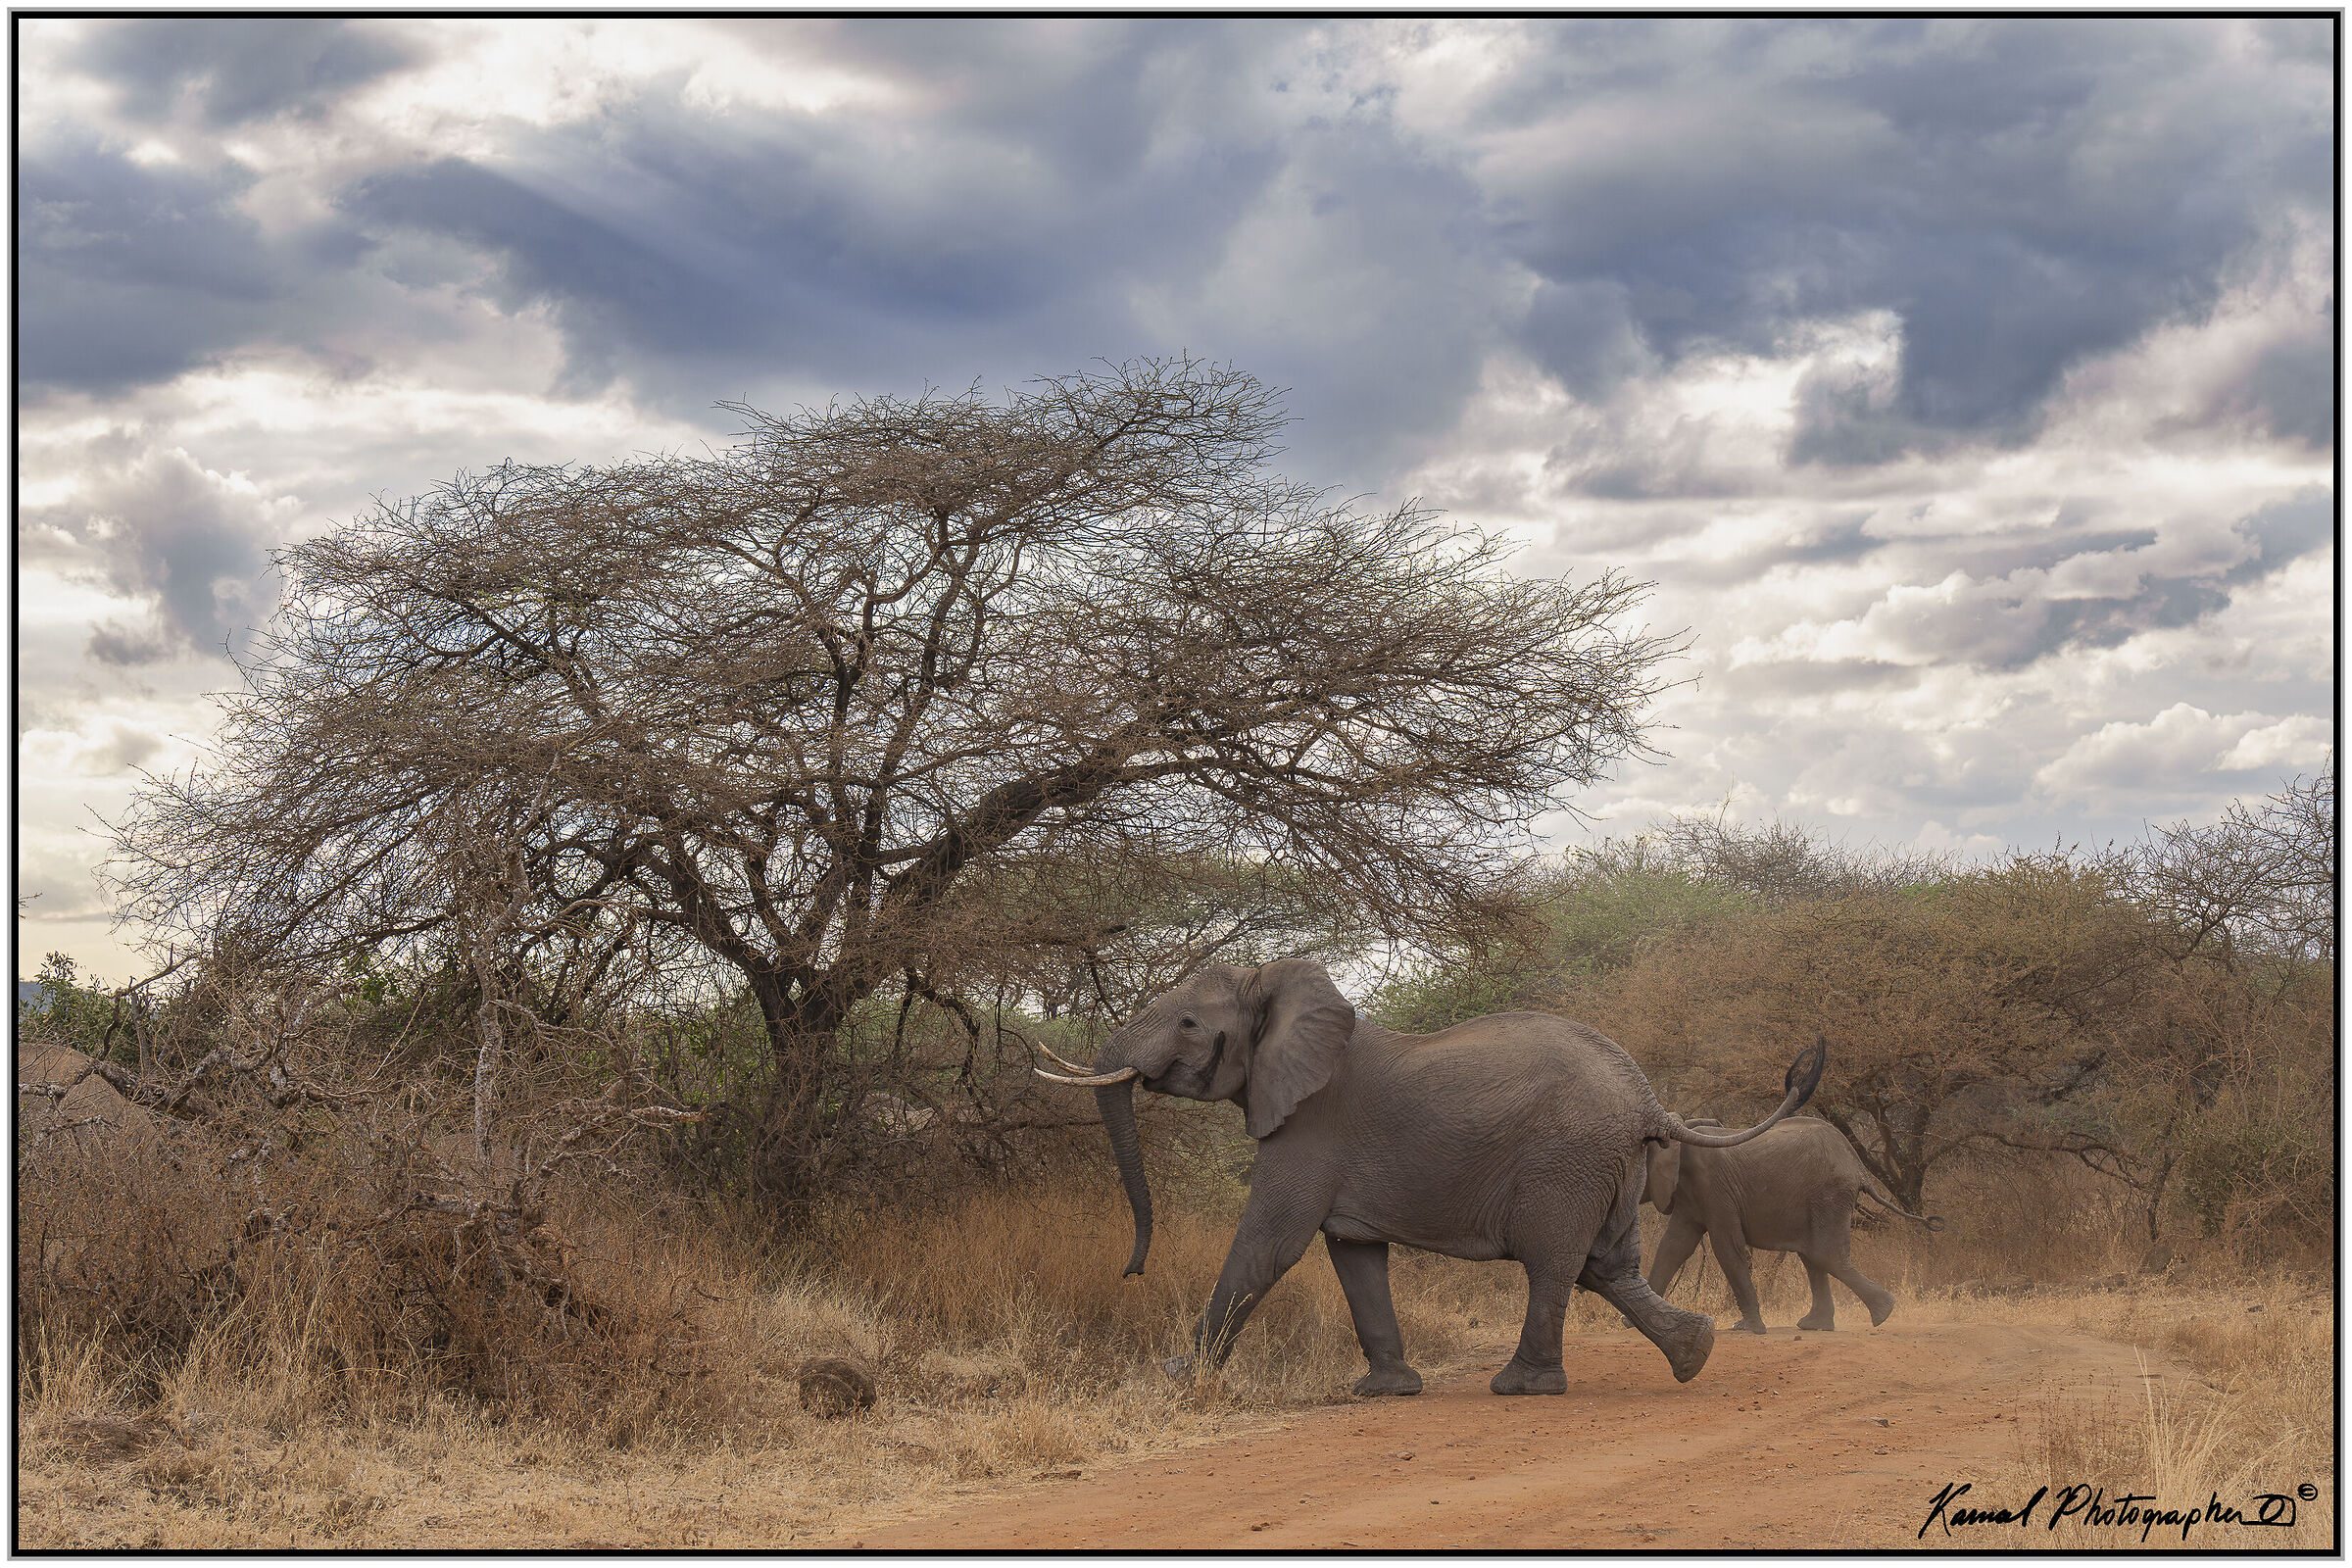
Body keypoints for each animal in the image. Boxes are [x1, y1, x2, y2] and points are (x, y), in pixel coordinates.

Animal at [1031, 958, 1825, 1396]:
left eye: (1190, 1024)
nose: (1130, 1271)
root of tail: (1645, 1096)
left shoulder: (1312, 1126)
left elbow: (1271, 1242)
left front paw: (1176, 1376)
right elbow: (1352, 1254)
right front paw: (1384, 1392)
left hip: (1567, 1161)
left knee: (1554, 1262)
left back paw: (1522, 1388)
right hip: (1612, 1165)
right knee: (1605, 1265)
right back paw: (1695, 1355)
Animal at [1641, 1114, 1945, 1334]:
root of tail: (1859, 1168)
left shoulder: (1715, 1191)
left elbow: (1728, 1249)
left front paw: (1748, 1329)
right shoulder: (1689, 1195)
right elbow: (1673, 1246)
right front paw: (1636, 1322)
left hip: (1829, 1195)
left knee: (1824, 1254)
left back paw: (1882, 1313)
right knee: (1813, 1256)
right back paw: (1817, 1325)